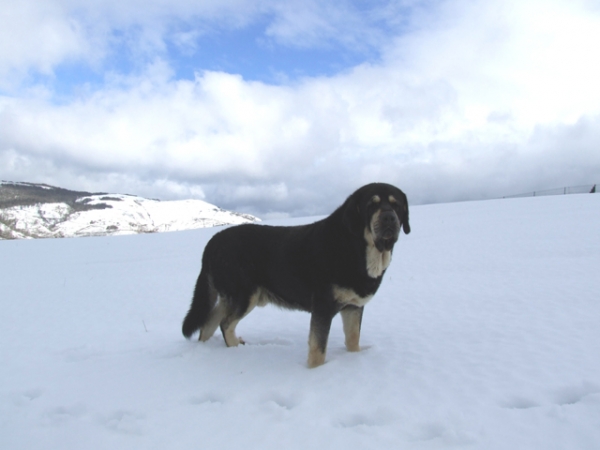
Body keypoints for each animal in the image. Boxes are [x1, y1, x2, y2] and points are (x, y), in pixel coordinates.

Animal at [180, 182, 410, 366]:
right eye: (372, 205)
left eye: (396, 205)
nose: (389, 218)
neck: (357, 248)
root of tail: (211, 243)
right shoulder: (323, 306)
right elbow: (318, 349)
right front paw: (316, 372)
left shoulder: (353, 307)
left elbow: (353, 340)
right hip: (244, 295)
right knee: (224, 323)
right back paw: (235, 349)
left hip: (232, 296)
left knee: (208, 323)